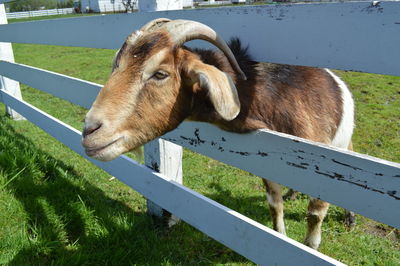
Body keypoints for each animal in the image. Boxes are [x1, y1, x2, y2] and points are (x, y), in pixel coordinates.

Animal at [80, 18, 354, 249]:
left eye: (160, 74)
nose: (89, 131)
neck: (268, 100)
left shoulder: (323, 169)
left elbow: (315, 215)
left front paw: (310, 245)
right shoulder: (268, 166)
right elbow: (274, 205)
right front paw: (281, 234)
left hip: (343, 142)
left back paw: (350, 217)